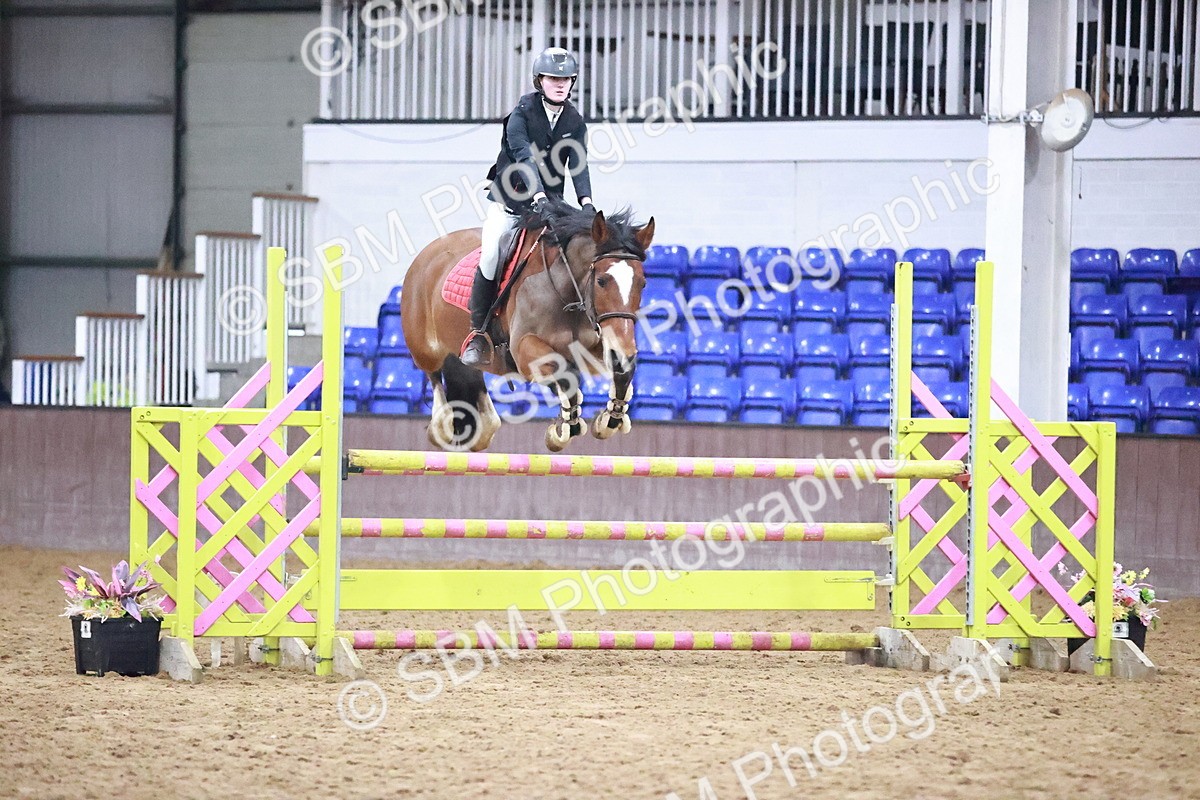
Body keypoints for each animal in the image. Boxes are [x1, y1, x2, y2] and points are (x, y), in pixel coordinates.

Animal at [401, 201, 655, 452]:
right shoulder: (525, 348)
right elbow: (565, 371)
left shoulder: (598, 345)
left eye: (643, 284)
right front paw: (565, 428)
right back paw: (440, 425)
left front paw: (610, 418)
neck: (565, 290)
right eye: (601, 281)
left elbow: (622, 371)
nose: (623, 351)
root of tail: (428, 252)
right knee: (434, 378)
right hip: (426, 350)